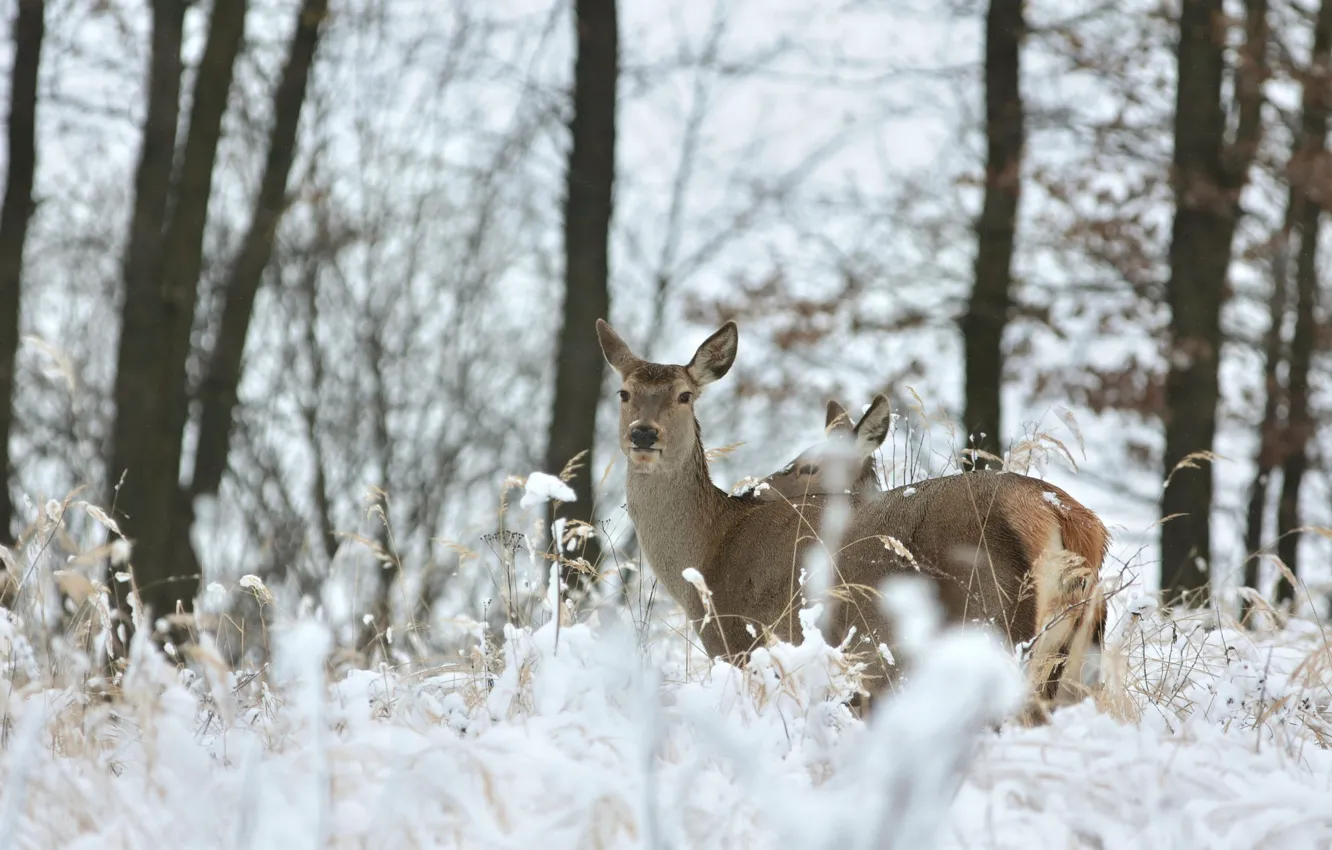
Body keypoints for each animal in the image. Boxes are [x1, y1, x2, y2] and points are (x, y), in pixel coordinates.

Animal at [597, 317, 1108, 721]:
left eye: (685, 395)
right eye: (624, 392)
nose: (643, 434)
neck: (710, 551)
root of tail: (1064, 517)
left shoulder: (745, 643)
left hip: (993, 625)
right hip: (1077, 658)